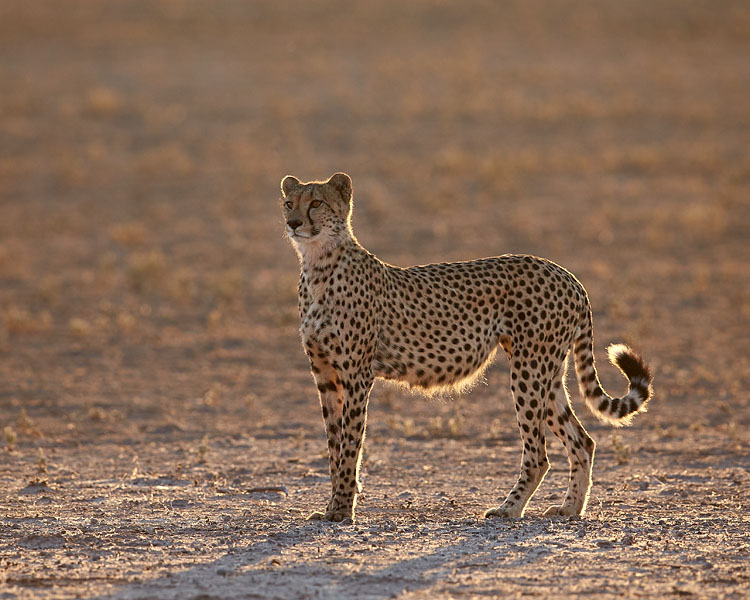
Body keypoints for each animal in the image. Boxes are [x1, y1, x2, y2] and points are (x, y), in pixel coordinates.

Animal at [281, 172, 653, 523]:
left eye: (316, 203)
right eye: (289, 203)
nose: (293, 223)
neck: (318, 265)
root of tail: (567, 275)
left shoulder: (357, 375)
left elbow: (349, 445)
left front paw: (343, 510)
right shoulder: (325, 376)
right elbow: (333, 444)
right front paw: (331, 506)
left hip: (529, 369)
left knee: (538, 453)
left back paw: (509, 509)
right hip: (547, 372)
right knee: (582, 441)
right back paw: (571, 508)